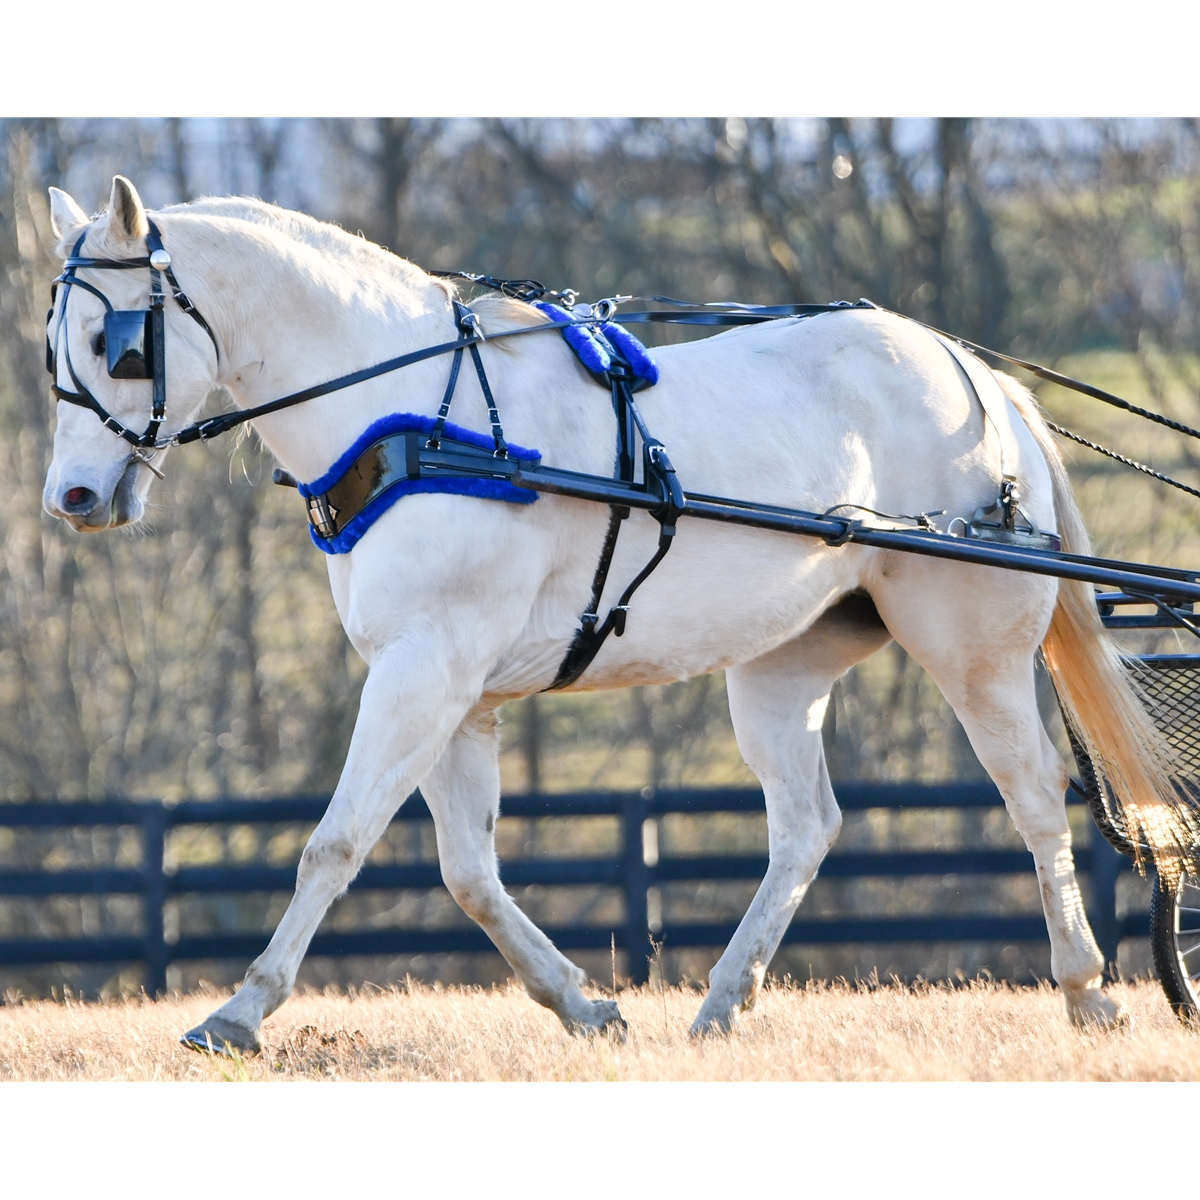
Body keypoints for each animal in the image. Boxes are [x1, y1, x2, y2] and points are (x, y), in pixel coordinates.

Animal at [41, 175, 1182, 1051]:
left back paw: (1087, 988)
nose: (73, 499)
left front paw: (239, 1010)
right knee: (806, 826)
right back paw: (723, 1002)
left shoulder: (423, 671)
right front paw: (583, 1004)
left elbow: (336, 843)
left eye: (117, 341)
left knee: (1035, 801)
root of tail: (975, 375)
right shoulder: (456, 693)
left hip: (973, 650)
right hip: (781, 667)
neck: (417, 420)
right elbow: (468, 873)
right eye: (53, 350)